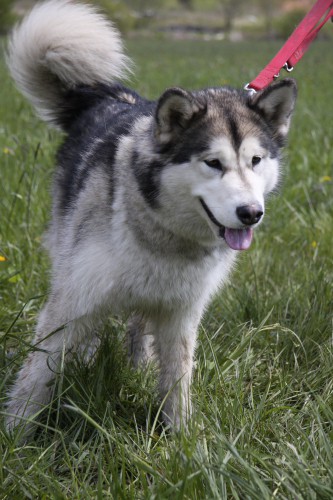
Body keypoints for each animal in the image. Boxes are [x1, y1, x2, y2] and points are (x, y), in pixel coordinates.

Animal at [5, 0, 296, 434]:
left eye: (256, 160)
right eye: (213, 163)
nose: (251, 214)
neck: (162, 234)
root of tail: (112, 98)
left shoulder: (181, 314)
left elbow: (177, 377)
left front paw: (180, 437)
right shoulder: (74, 299)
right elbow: (35, 376)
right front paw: (16, 437)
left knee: (139, 325)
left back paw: (137, 365)